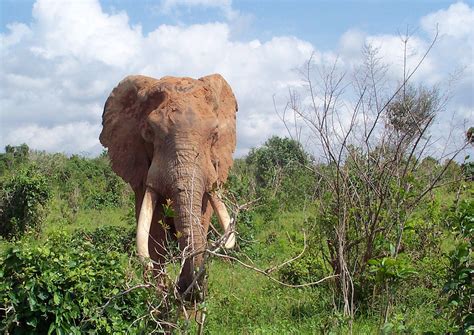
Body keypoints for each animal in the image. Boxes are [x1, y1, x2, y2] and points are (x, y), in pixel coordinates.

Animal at [99, 73, 237, 300]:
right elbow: (153, 235)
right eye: (148, 133)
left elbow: (202, 218)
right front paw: (159, 297)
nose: (184, 289)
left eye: (215, 135)